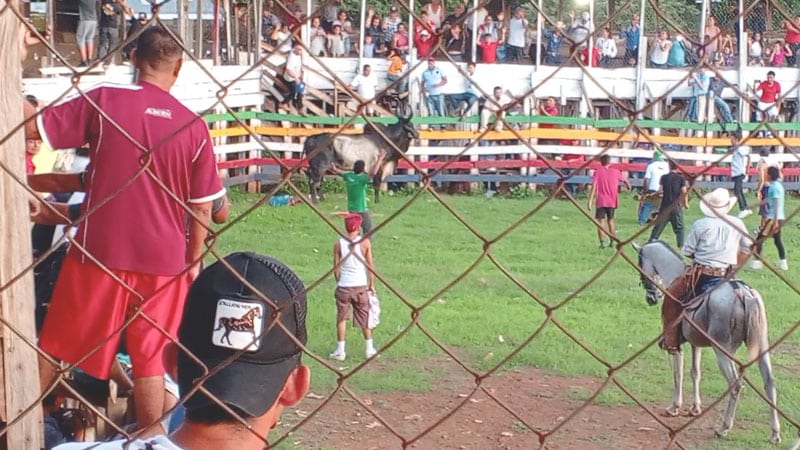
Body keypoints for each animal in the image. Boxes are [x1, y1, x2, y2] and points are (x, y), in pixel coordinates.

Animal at [636, 241, 780, 442]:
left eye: (641, 265)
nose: (651, 298)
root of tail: (743, 294)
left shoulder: (676, 345)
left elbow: (677, 373)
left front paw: (674, 407)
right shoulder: (695, 344)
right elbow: (695, 372)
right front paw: (695, 408)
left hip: (723, 351)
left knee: (735, 385)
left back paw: (723, 428)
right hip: (762, 347)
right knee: (770, 383)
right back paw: (775, 432)